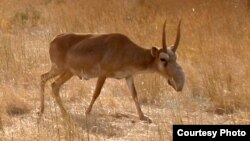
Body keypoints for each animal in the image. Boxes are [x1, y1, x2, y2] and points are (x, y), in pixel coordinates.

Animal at [39, 19, 184, 122]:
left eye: (175, 57)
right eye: (163, 59)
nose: (178, 84)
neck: (126, 50)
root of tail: (54, 39)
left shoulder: (128, 76)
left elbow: (134, 94)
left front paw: (144, 117)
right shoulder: (103, 74)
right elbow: (96, 93)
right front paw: (87, 112)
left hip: (68, 72)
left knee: (54, 85)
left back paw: (64, 113)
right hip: (58, 68)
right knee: (43, 77)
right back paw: (41, 111)